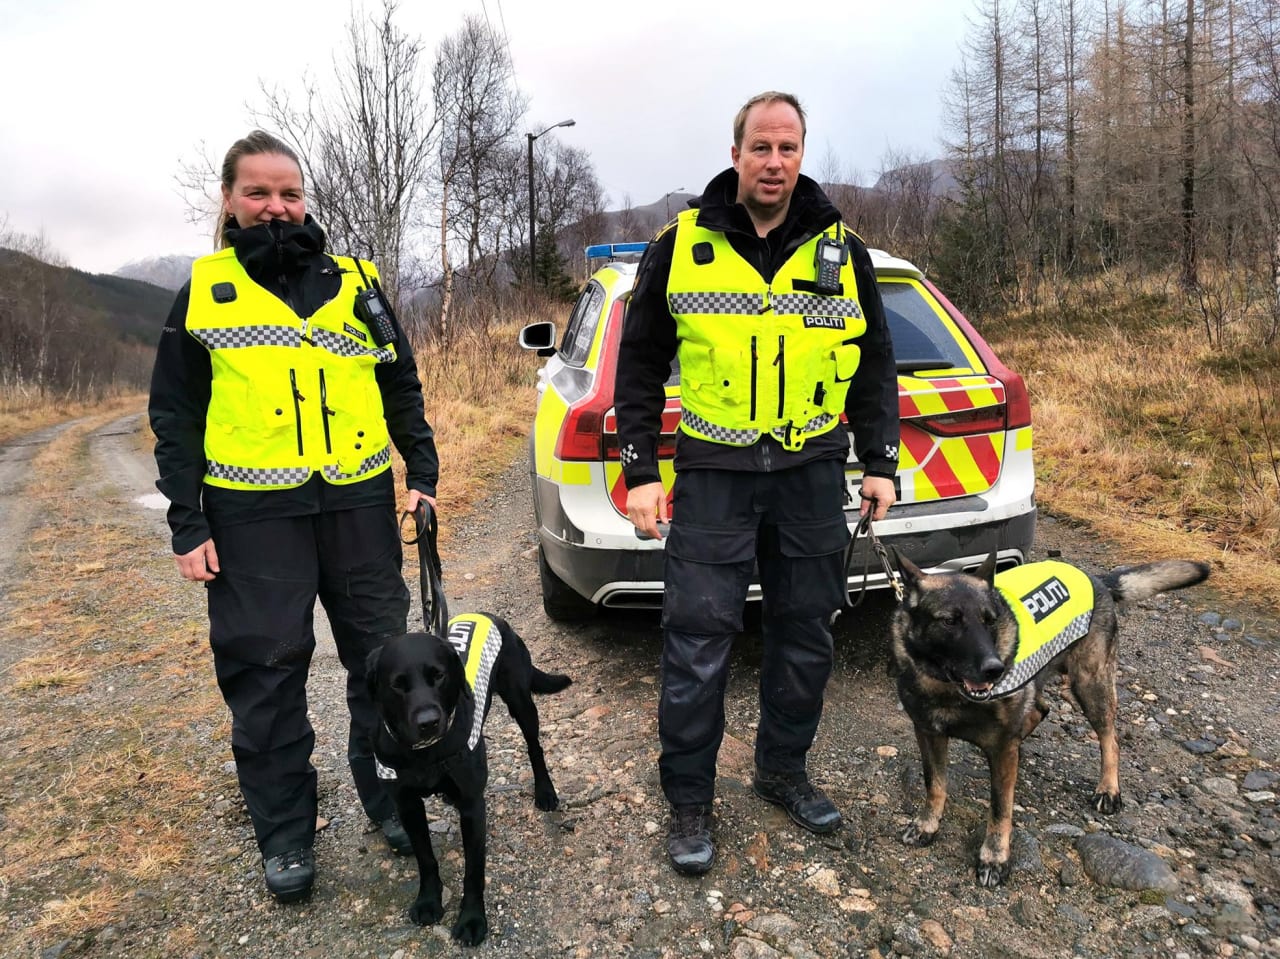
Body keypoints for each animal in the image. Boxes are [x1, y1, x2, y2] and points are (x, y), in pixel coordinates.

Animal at [366, 613, 571, 945]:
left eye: (438, 676)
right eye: (397, 685)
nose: (429, 722)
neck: (426, 754)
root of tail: (492, 616)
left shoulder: (473, 807)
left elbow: (473, 871)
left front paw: (472, 919)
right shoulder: (407, 806)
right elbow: (425, 857)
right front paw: (428, 901)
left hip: (521, 701)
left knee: (535, 747)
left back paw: (545, 791)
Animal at [889, 550, 1209, 887]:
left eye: (990, 620)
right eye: (950, 621)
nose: (995, 670)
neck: (945, 689)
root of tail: (1097, 580)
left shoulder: (1000, 751)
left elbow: (1000, 808)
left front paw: (994, 857)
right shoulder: (929, 735)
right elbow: (935, 785)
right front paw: (927, 824)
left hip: (1090, 685)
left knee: (1110, 739)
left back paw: (1108, 789)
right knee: (1041, 708)